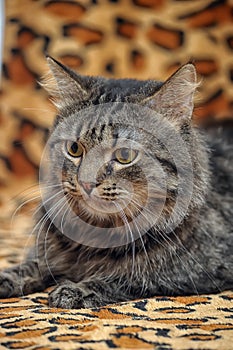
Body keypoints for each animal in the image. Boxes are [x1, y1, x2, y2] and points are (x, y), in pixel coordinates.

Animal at [0, 57, 232, 308]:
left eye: (125, 155)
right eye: (74, 149)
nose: (86, 183)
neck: (95, 232)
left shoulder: (189, 274)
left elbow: (123, 278)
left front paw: (75, 290)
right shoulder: (45, 253)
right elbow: (32, 266)